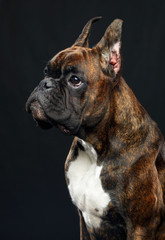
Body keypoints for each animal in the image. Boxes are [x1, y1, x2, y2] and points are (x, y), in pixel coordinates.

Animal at [25, 17, 165, 240]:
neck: (95, 149)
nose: (45, 83)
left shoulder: (140, 227)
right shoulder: (83, 219)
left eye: (75, 80)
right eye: (46, 72)